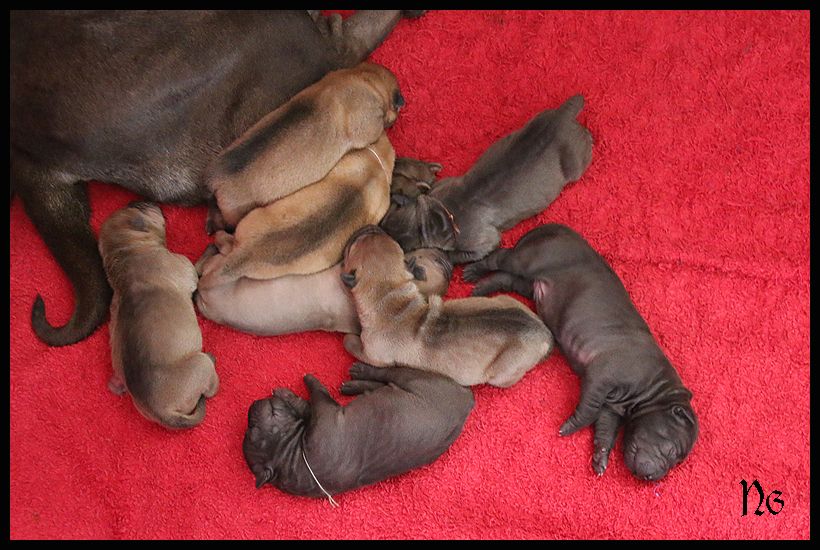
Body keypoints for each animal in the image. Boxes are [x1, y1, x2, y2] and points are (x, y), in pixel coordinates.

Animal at [99, 202, 219, 429]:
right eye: (139, 207)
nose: (141, 201)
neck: (125, 253)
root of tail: (163, 413)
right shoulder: (185, 269)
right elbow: (198, 266)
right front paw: (211, 249)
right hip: (199, 365)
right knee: (210, 389)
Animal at [243, 363, 474, 500]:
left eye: (250, 427)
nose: (251, 406)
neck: (290, 456)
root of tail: (467, 401)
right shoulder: (324, 412)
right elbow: (316, 391)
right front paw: (301, 386)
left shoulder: (320, 413)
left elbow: (307, 402)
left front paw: (288, 393)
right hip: (415, 379)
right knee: (387, 374)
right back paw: (358, 376)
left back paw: (354, 382)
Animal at [340, 226, 554, 387]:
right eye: (396, 244)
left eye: (351, 248)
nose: (371, 228)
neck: (390, 296)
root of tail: (543, 333)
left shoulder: (374, 355)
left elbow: (351, 343)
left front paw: (350, 339)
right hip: (506, 300)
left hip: (503, 374)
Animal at [380, 95, 593, 264]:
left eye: (404, 248)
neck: (441, 212)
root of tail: (562, 115)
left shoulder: (485, 241)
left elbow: (460, 255)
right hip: (536, 119)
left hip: (576, 161)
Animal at [463, 223, 699, 480]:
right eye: (672, 450)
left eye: (677, 461)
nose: (654, 478)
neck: (655, 388)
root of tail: (551, 227)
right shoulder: (602, 376)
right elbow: (589, 407)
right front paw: (567, 428)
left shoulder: (612, 409)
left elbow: (606, 430)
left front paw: (600, 460)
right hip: (529, 258)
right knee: (501, 258)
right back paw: (472, 272)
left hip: (532, 286)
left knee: (508, 279)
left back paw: (481, 288)